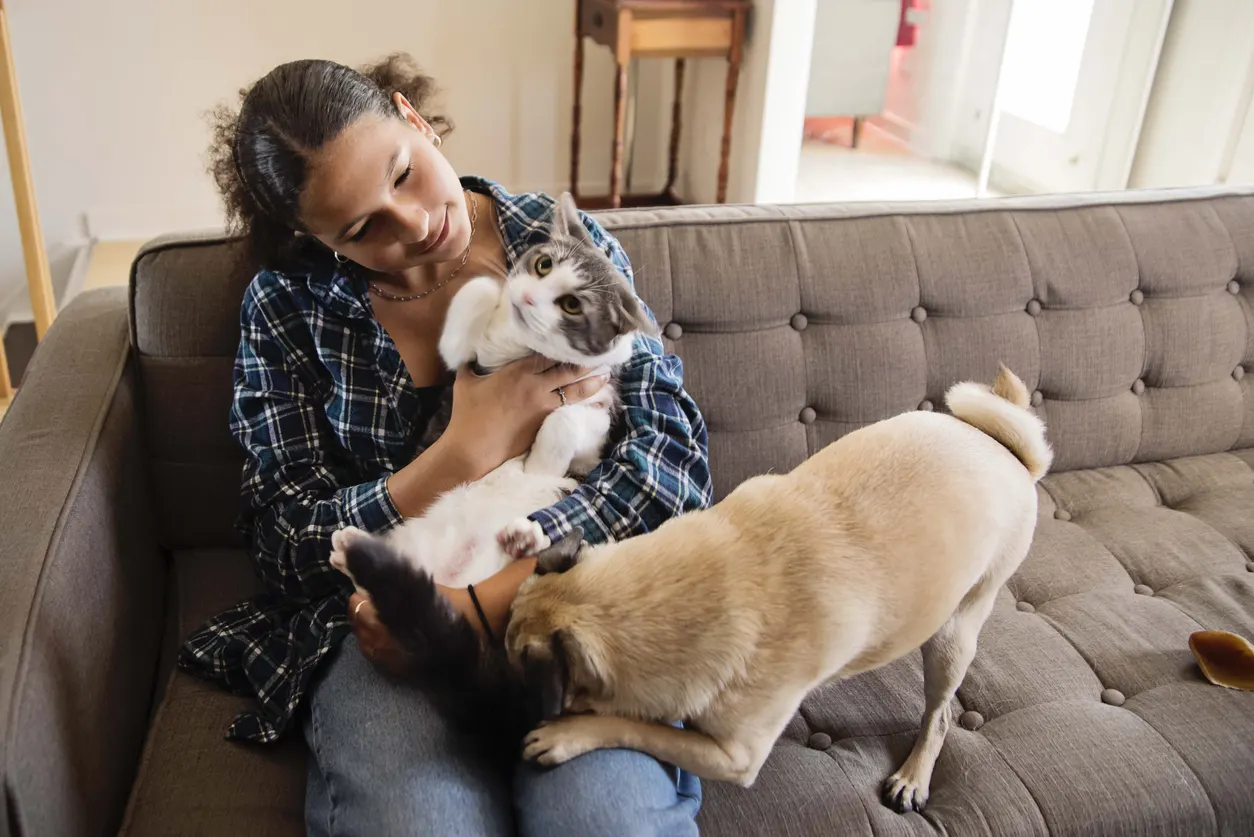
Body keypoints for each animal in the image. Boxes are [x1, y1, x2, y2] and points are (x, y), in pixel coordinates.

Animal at [328, 193, 652, 592]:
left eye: (572, 305)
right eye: (543, 265)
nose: (526, 297)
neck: (521, 345)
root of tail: (447, 574)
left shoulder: (600, 408)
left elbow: (570, 420)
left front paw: (541, 465)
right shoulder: (474, 364)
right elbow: (478, 293)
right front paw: (482, 302)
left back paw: (523, 538)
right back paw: (349, 548)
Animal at [504, 363, 1053, 813]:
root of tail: (1008, 450)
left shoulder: (731, 755)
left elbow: (635, 727)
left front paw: (567, 734)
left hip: (956, 634)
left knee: (939, 716)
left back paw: (914, 777)